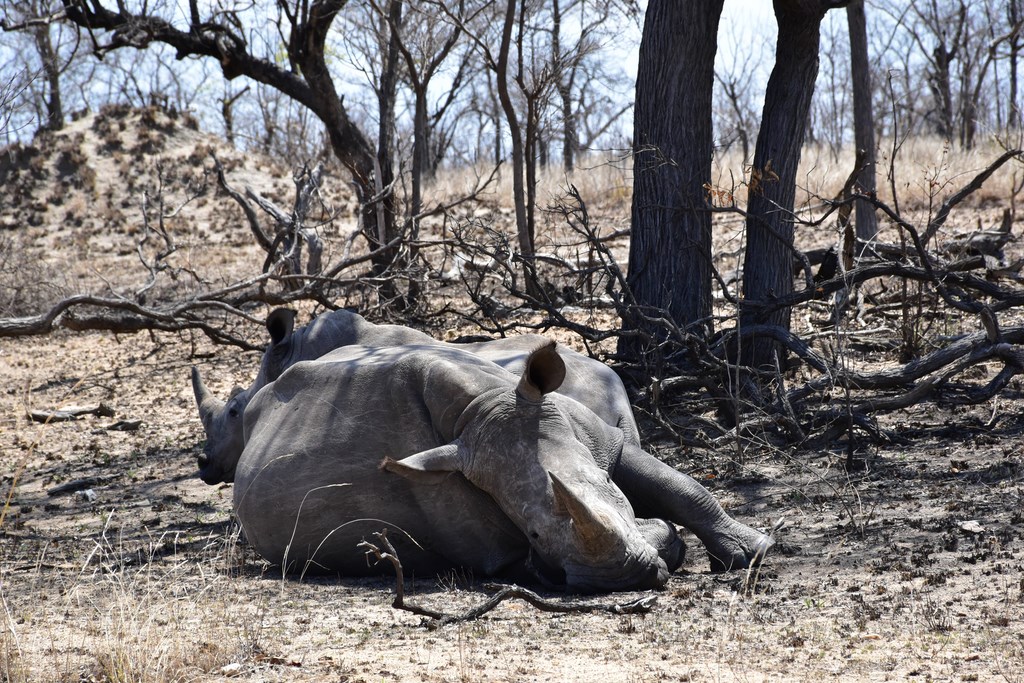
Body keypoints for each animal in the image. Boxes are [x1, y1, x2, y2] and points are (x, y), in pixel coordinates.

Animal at [234, 340, 685, 592]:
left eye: (608, 483)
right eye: (534, 534)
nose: (620, 577)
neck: (482, 406)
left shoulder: (599, 436)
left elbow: (683, 490)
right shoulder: (487, 542)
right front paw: (667, 540)